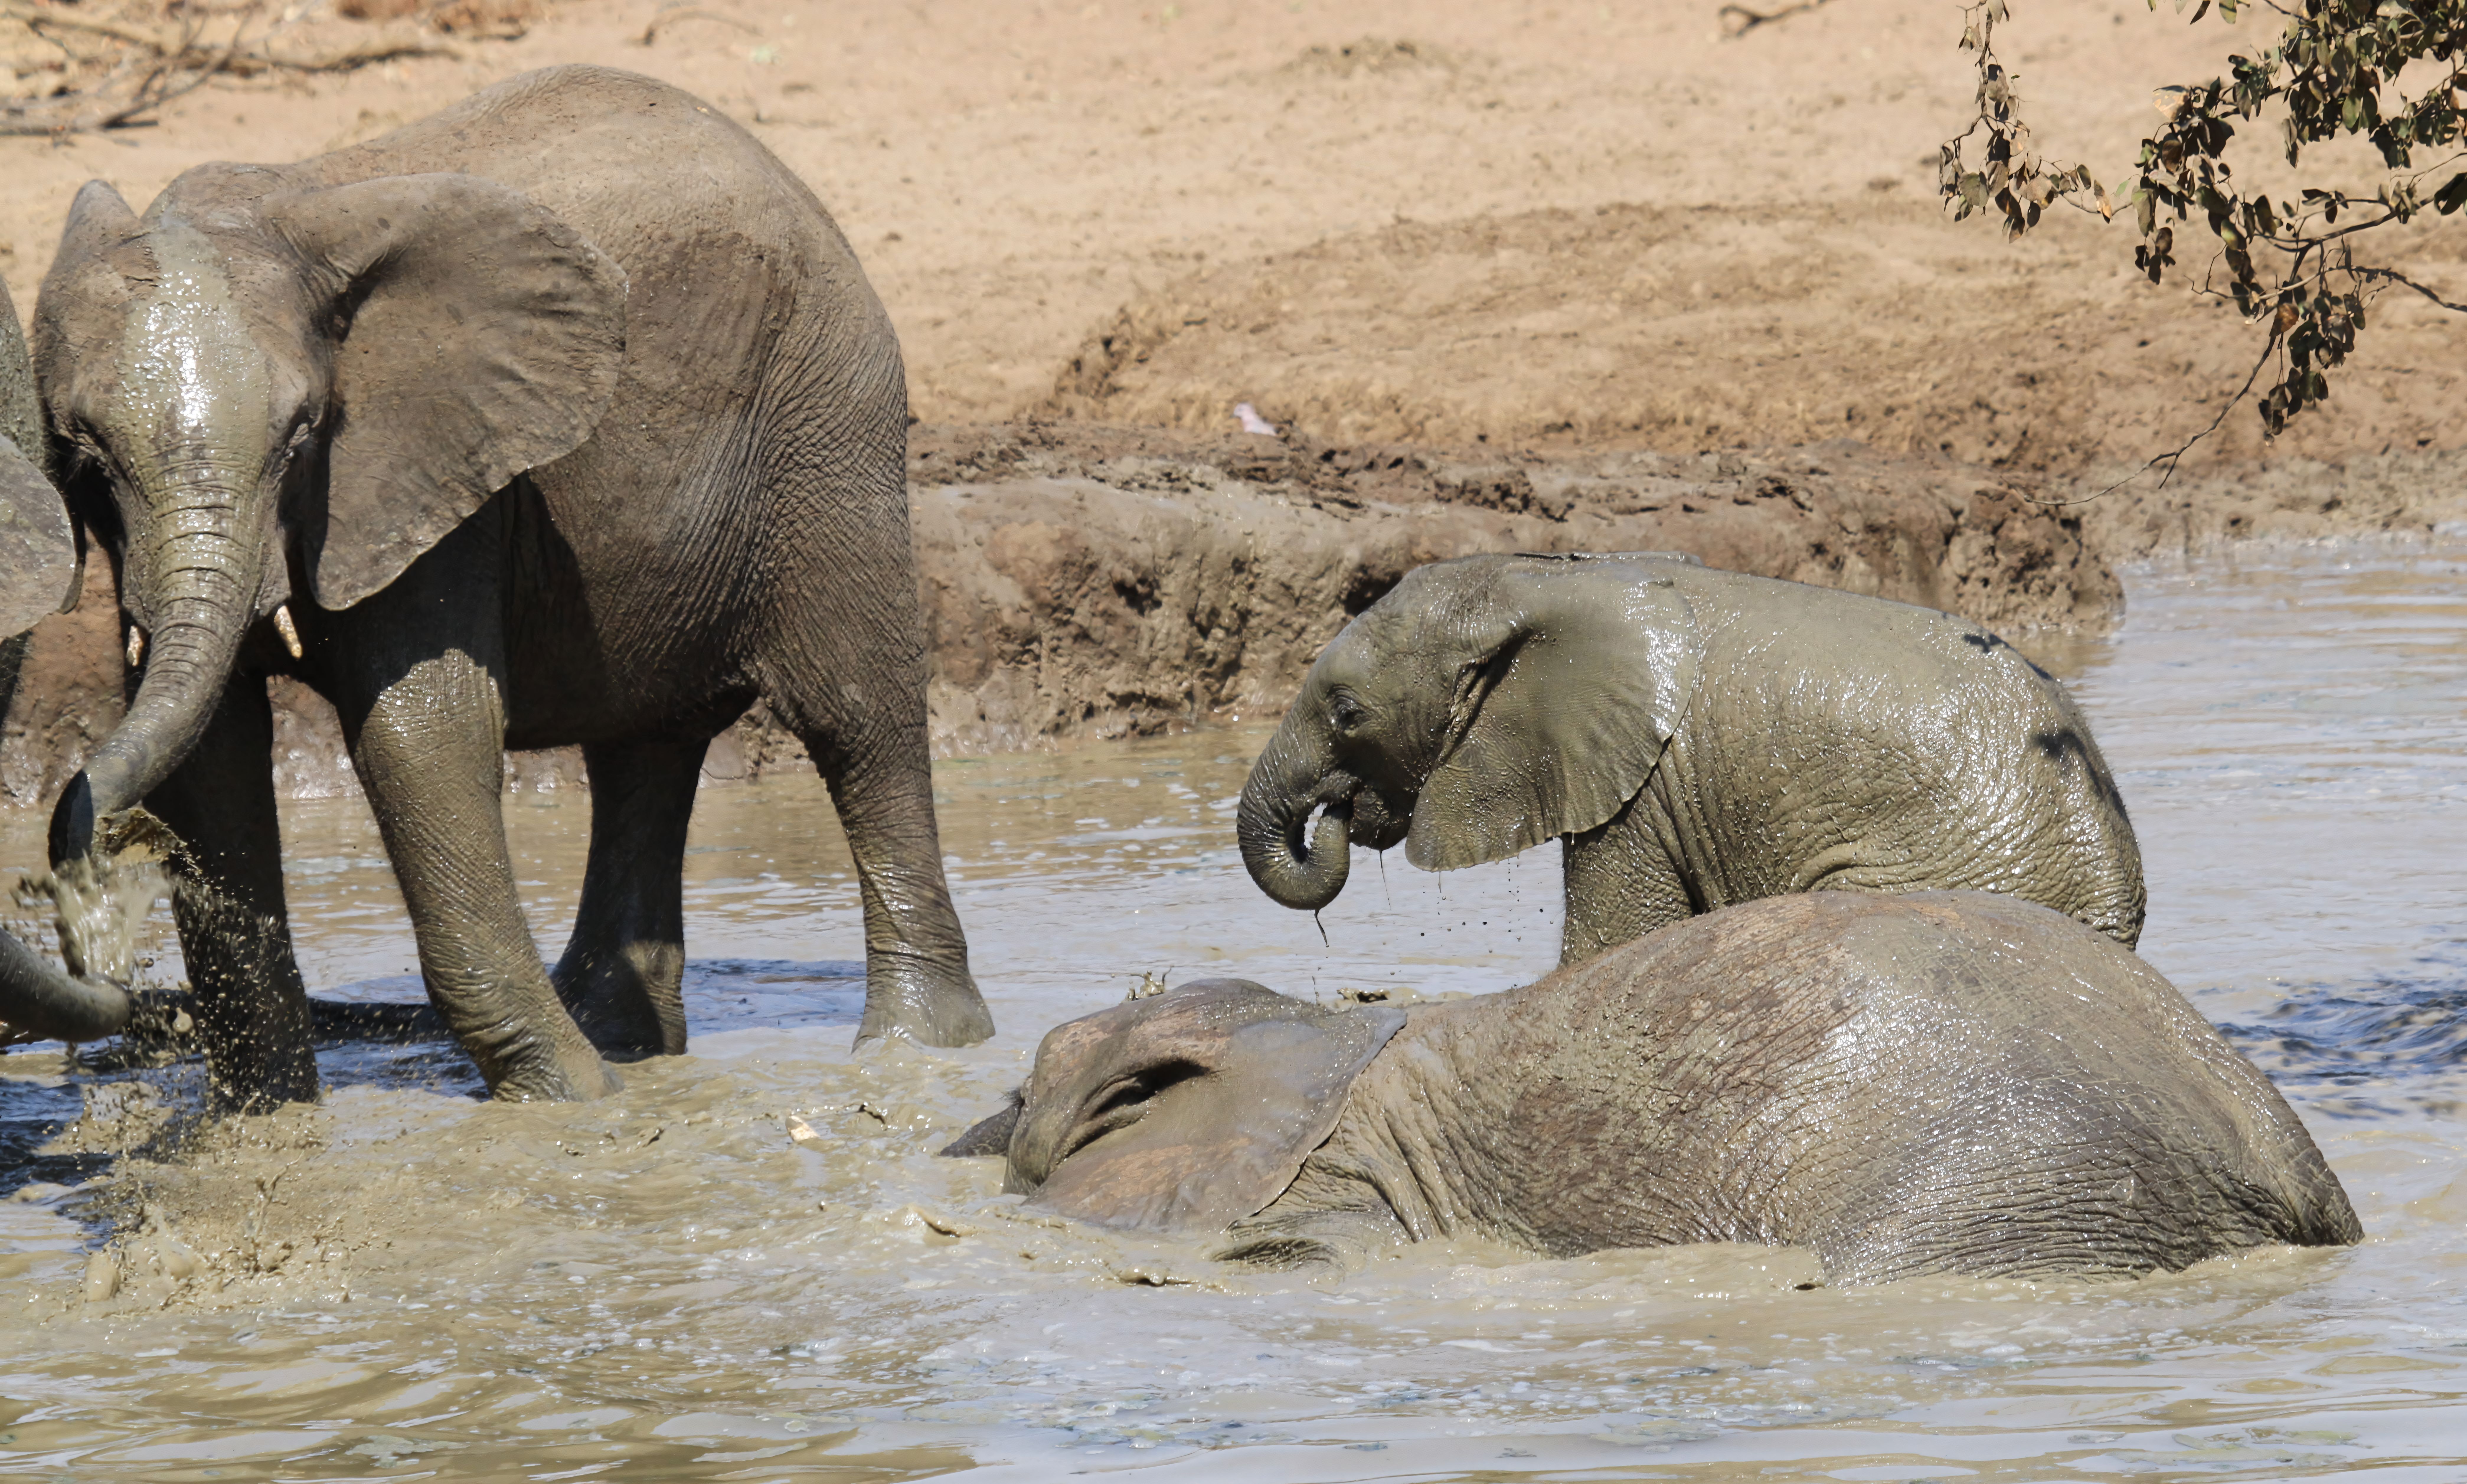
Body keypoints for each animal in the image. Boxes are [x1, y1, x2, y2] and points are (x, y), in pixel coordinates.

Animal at [0, 65, 992, 1108]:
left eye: (304, 435)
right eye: (84, 453)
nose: (75, 877)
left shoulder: (436, 474)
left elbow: (420, 735)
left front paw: (572, 1107)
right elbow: (210, 759)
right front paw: (270, 1121)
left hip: (827, 415)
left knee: (856, 718)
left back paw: (917, 1050)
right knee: (641, 750)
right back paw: (626, 1040)